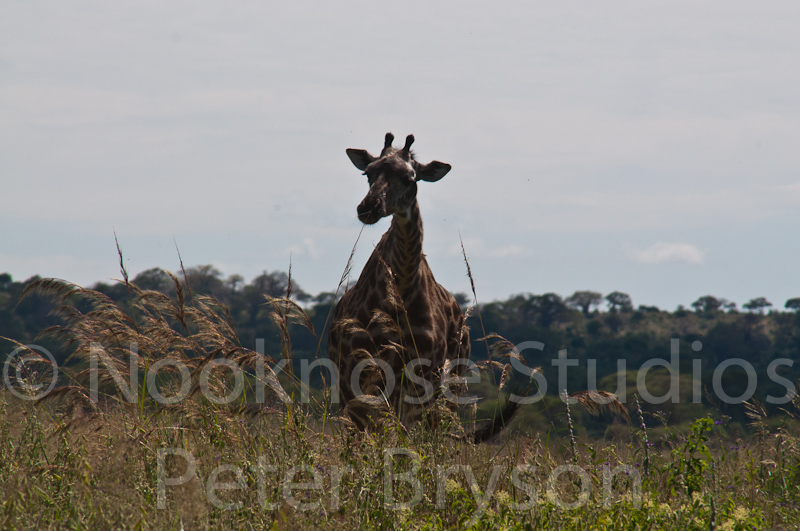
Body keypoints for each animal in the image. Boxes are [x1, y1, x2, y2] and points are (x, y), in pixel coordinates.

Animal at [328, 133, 516, 440]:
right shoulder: (357, 374)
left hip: (450, 385)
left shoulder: (423, 377)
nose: (368, 207)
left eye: (409, 177)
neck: (401, 290)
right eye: (368, 173)